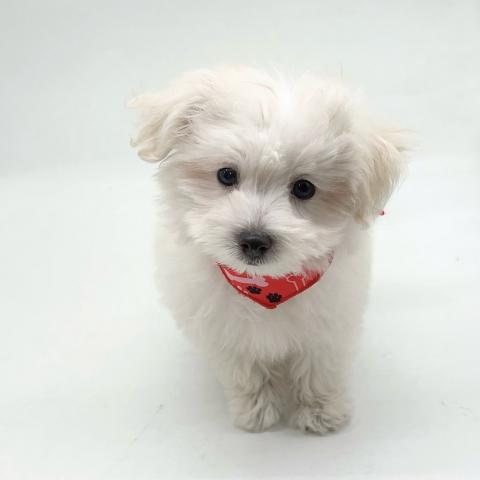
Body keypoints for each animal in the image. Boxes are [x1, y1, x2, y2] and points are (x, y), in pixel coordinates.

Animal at [130, 66, 406, 434]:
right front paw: (257, 411)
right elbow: (245, 373)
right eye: (226, 174)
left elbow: (319, 368)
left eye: (304, 188)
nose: (253, 240)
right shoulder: (222, 333)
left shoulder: (328, 324)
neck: (266, 285)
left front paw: (321, 412)